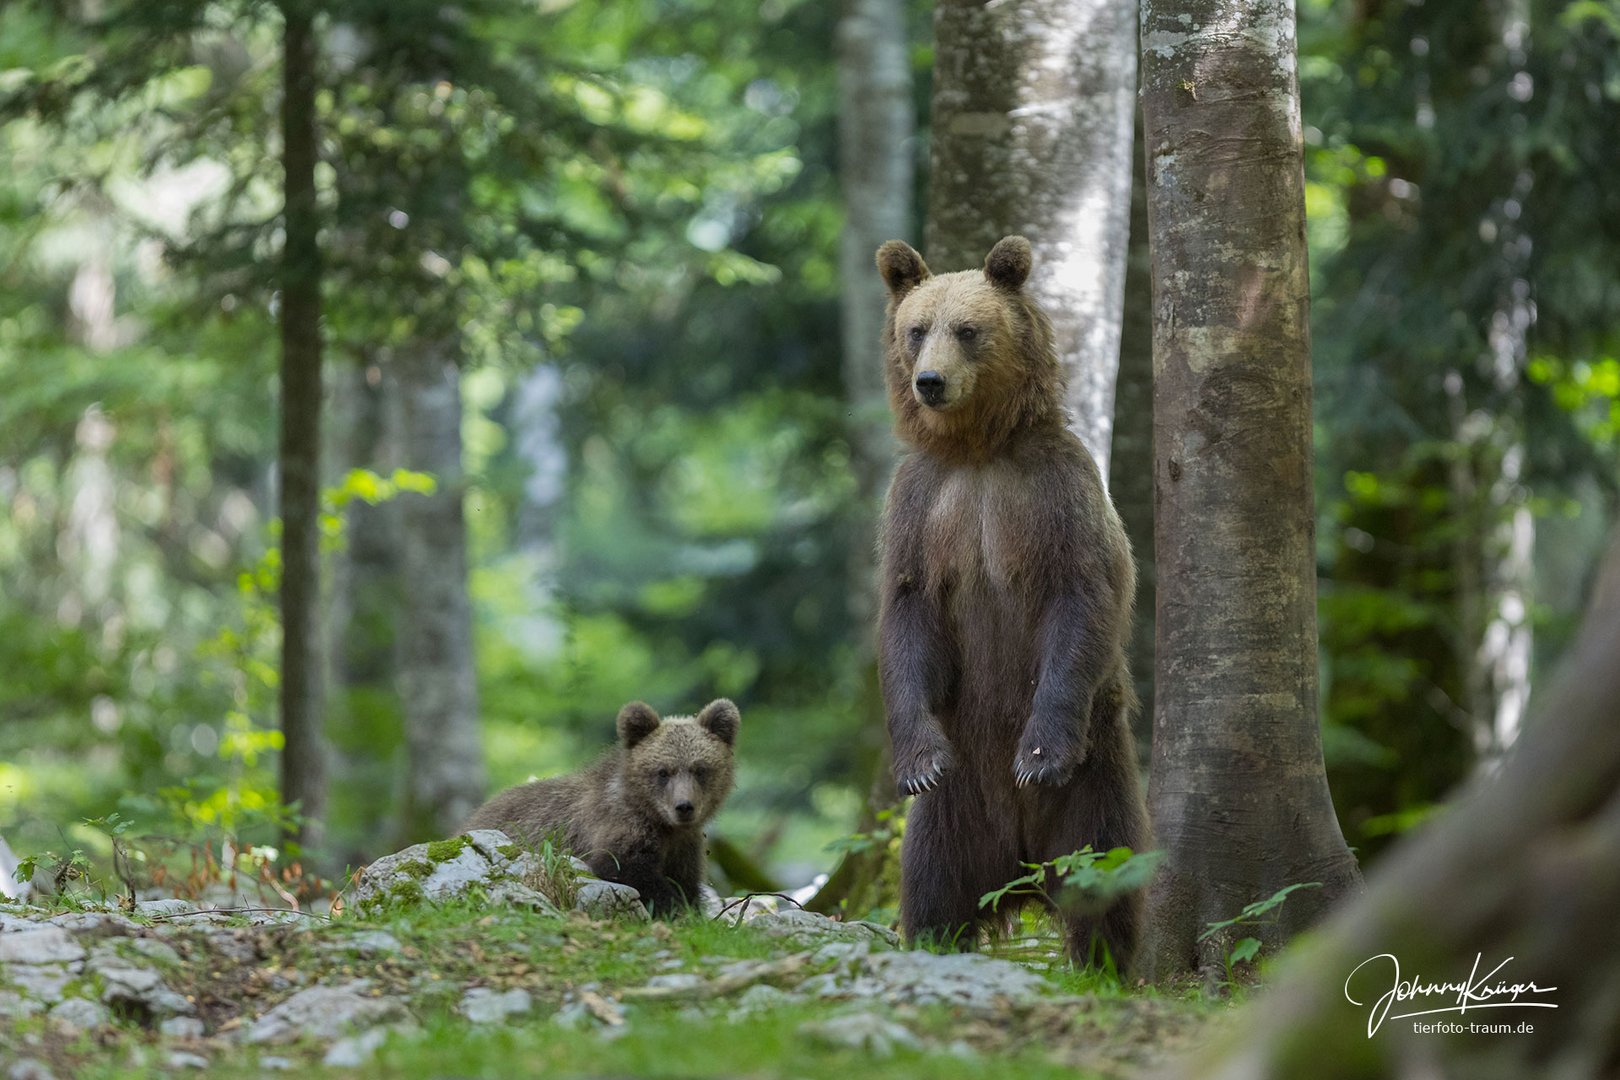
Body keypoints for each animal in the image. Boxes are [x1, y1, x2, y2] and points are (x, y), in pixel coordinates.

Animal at [874, 236, 1153, 971]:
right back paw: (935, 940)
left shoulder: (1053, 494)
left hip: (1094, 783)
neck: (977, 450)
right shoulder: (921, 506)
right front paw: (916, 761)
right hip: (958, 804)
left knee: (1104, 874)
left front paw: (1038, 752)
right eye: (917, 329)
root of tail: (1021, 873)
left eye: (968, 330)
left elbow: (1080, 598)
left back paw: (1106, 965)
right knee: (932, 882)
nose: (930, 381)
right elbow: (907, 615)